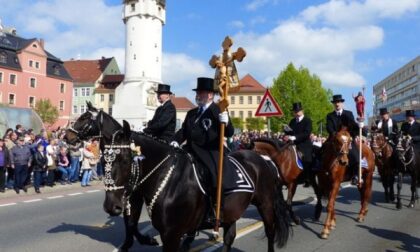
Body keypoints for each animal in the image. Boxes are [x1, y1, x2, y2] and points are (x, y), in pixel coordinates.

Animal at [67, 103, 292, 252]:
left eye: (124, 160)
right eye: (103, 160)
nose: (66, 136)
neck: (166, 177)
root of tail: (263, 158)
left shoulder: (171, 233)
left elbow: (131, 222)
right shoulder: (136, 198)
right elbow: (130, 222)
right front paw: (134, 242)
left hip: (265, 204)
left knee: (270, 232)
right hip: (231, 211)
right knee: (229, 237)